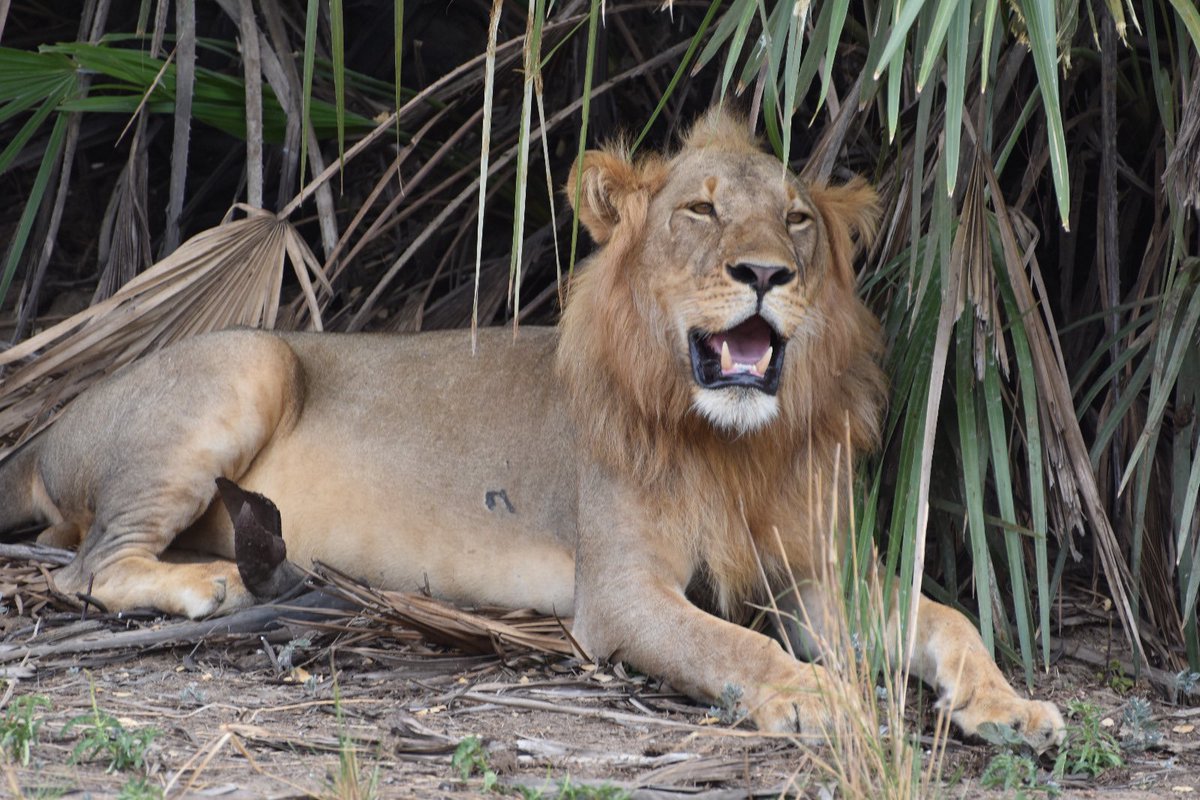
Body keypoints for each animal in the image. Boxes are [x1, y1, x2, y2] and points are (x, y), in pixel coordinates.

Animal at [0, 109, 1063, 749]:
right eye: (701, 210)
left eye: (798, 220)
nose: (767, 272)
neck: (735, 445)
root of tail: (43, 432)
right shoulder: (622, 597)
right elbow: (734, 647)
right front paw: (810, 695)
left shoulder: (818, 580)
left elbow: (950, 619)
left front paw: (1011, 707)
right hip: (247, 362)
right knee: (85, 566)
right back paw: (211, 585)